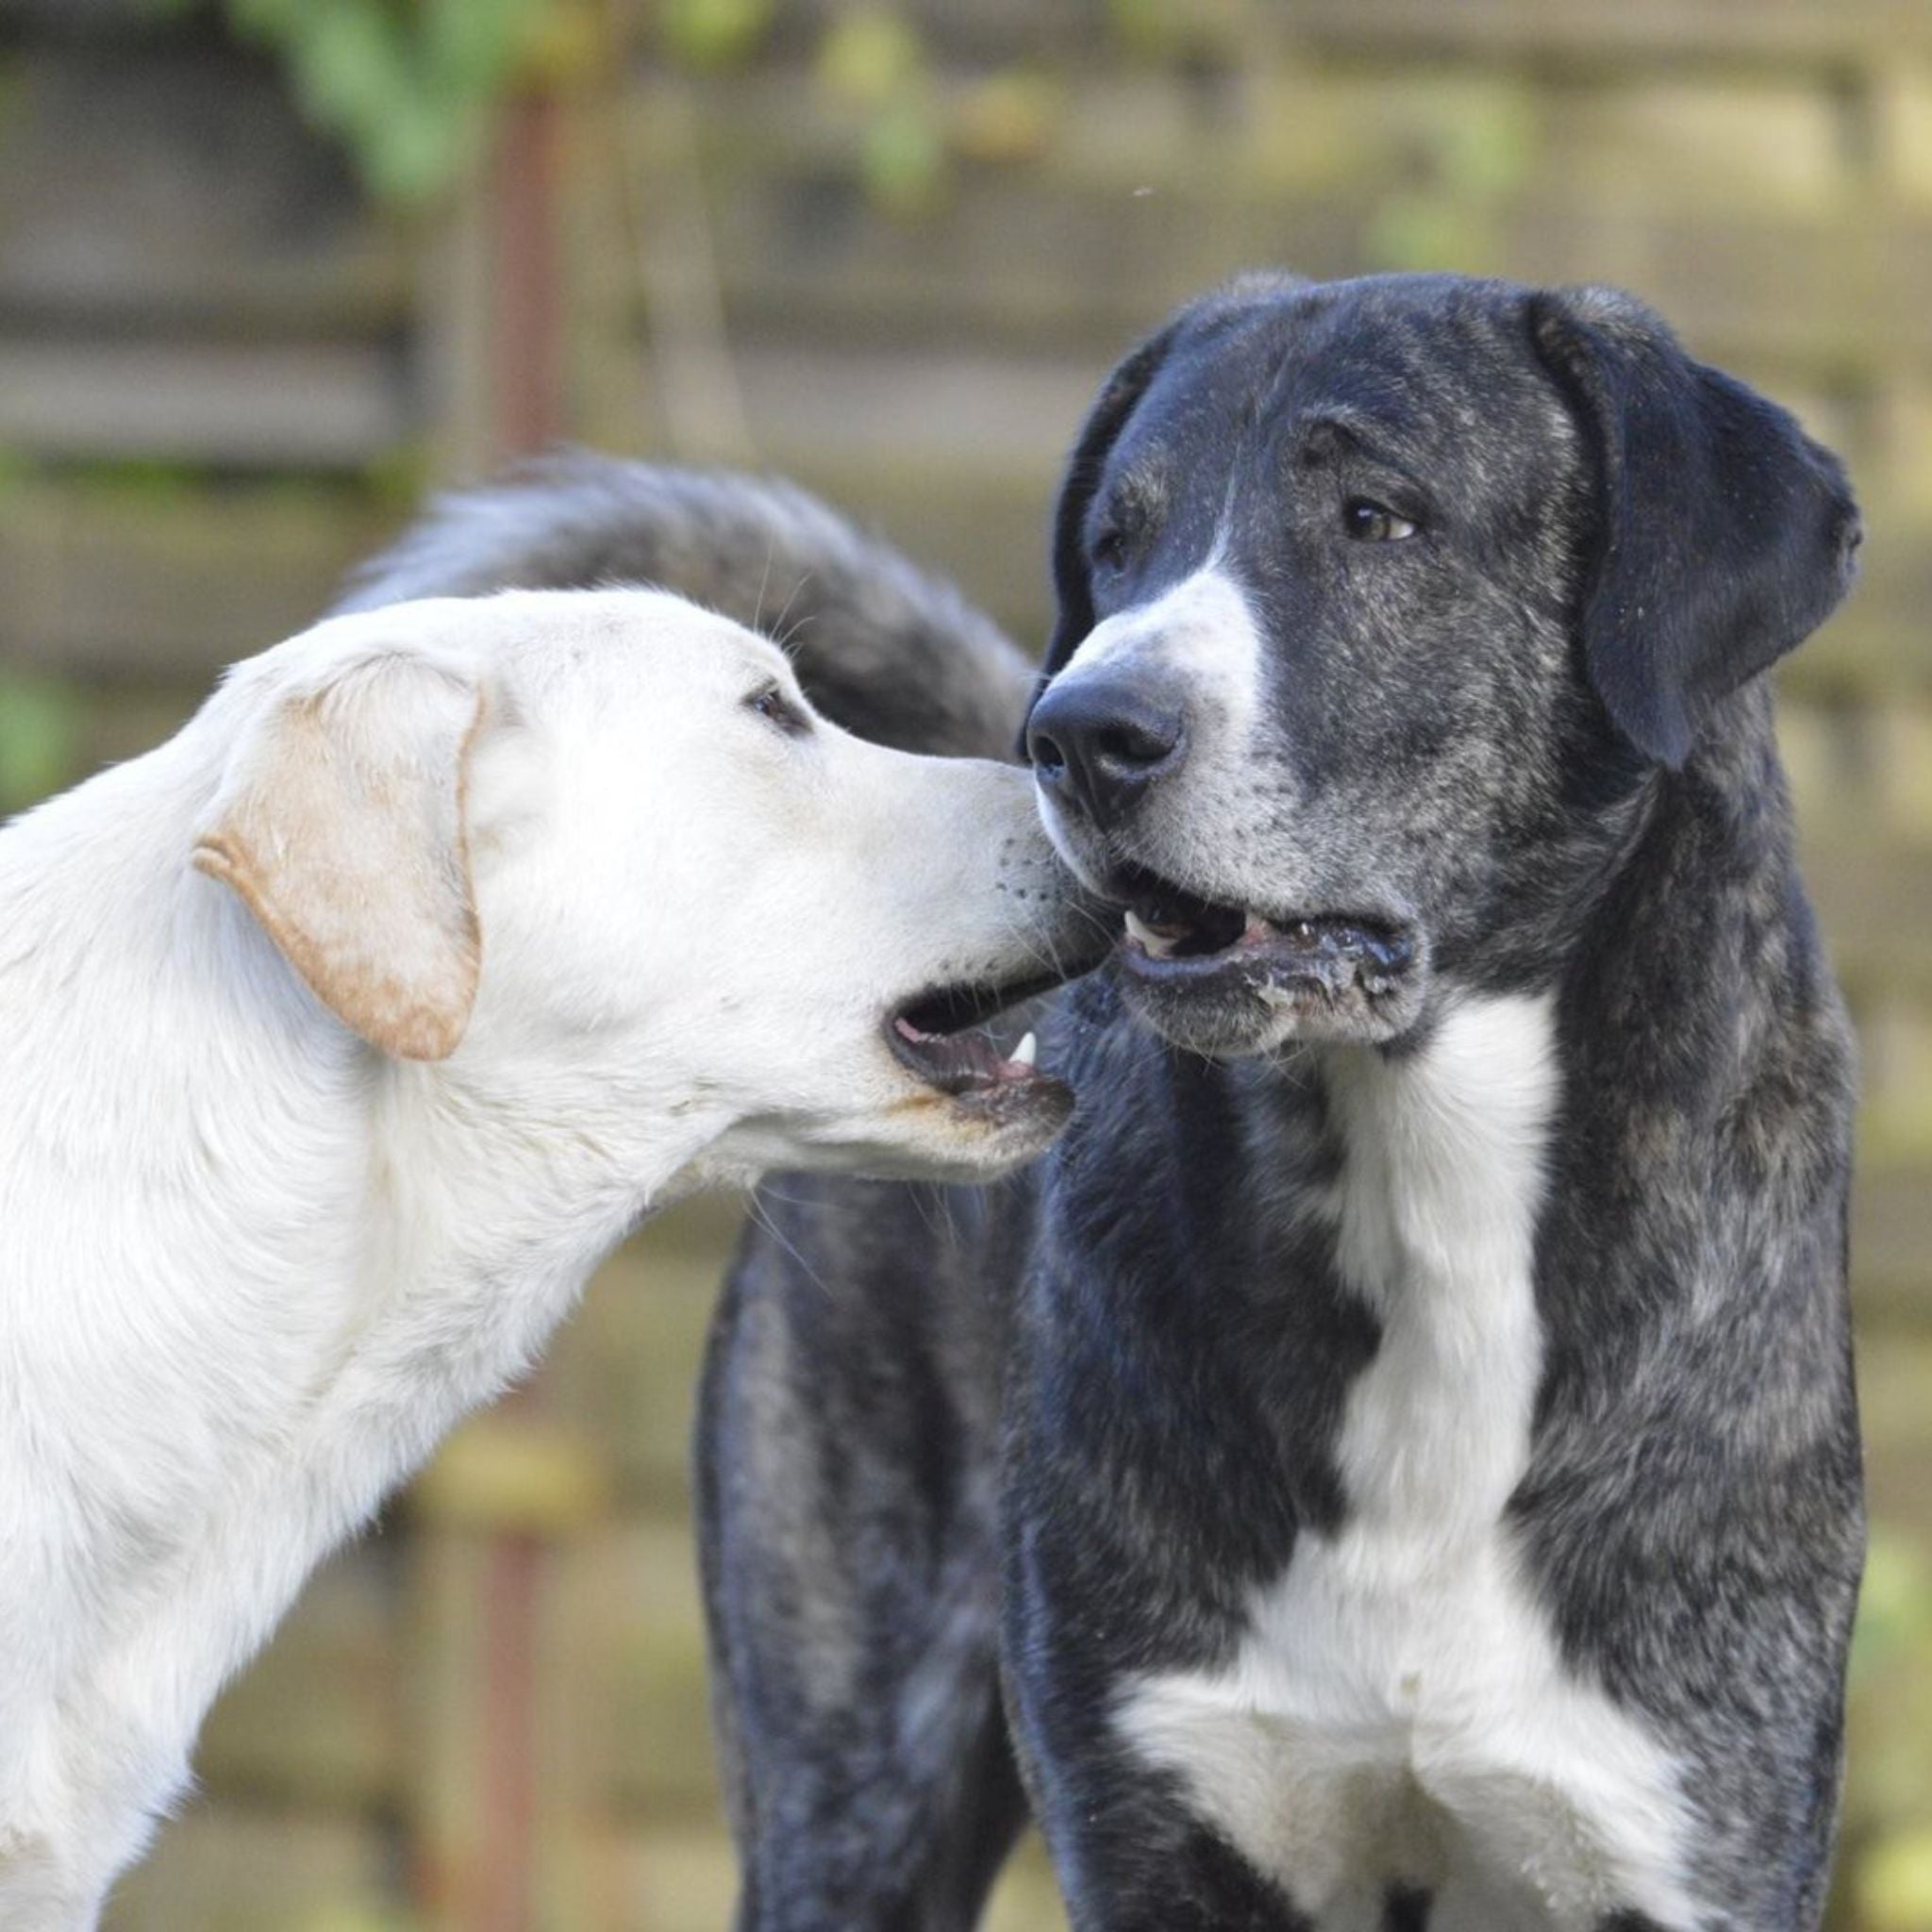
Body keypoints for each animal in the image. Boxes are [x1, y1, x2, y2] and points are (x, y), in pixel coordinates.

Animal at [355, 272, 1862, 1932]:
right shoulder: (1155, 1815)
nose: (1080, 733)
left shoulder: (1693, 1838)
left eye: (1376, 517)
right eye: (1119, 542)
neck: (1425, 1181)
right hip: (853, 1773)